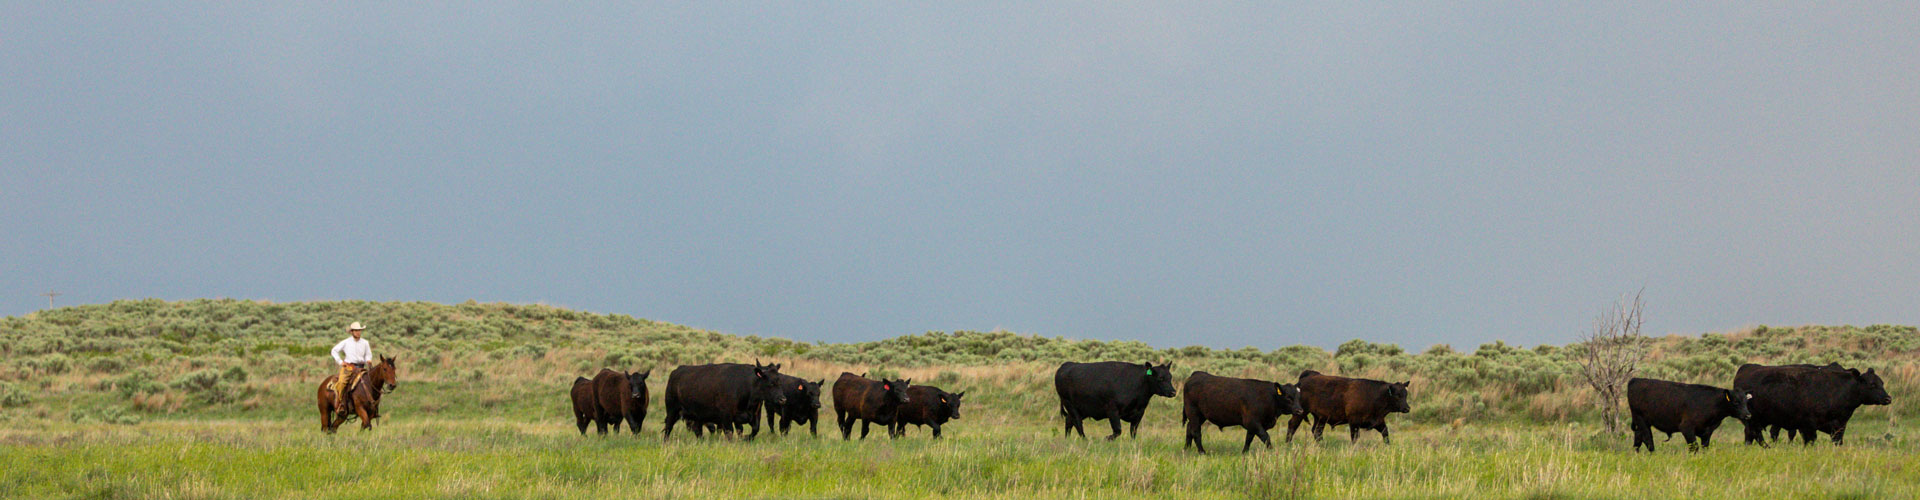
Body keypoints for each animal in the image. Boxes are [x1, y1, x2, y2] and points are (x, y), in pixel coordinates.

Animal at [1175, 371, 1313, 453]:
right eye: (1288, 397)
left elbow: (1249, 439)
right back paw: (1202, 452)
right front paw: (1271, 451)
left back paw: (1186, 449)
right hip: (1193, 412)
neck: (1269, 397)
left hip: (1200, 415)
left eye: (1298, 397)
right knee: (1195, 431)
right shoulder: (1252, 422)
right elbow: (1266, 437)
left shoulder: (1253, 425)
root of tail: (1196, 374)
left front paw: (1244, 453)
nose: (1299, 410)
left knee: (1189, 428)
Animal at [1735, 363, 1896, 446]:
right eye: (1872, 384)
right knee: (1753, 435)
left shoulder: (1840, 426)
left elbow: (1838, 441)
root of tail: (1746, 367)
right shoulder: (1809, 425)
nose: (1888, 398)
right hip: (1752, 419)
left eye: (1882, 382)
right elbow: (1810, 441)